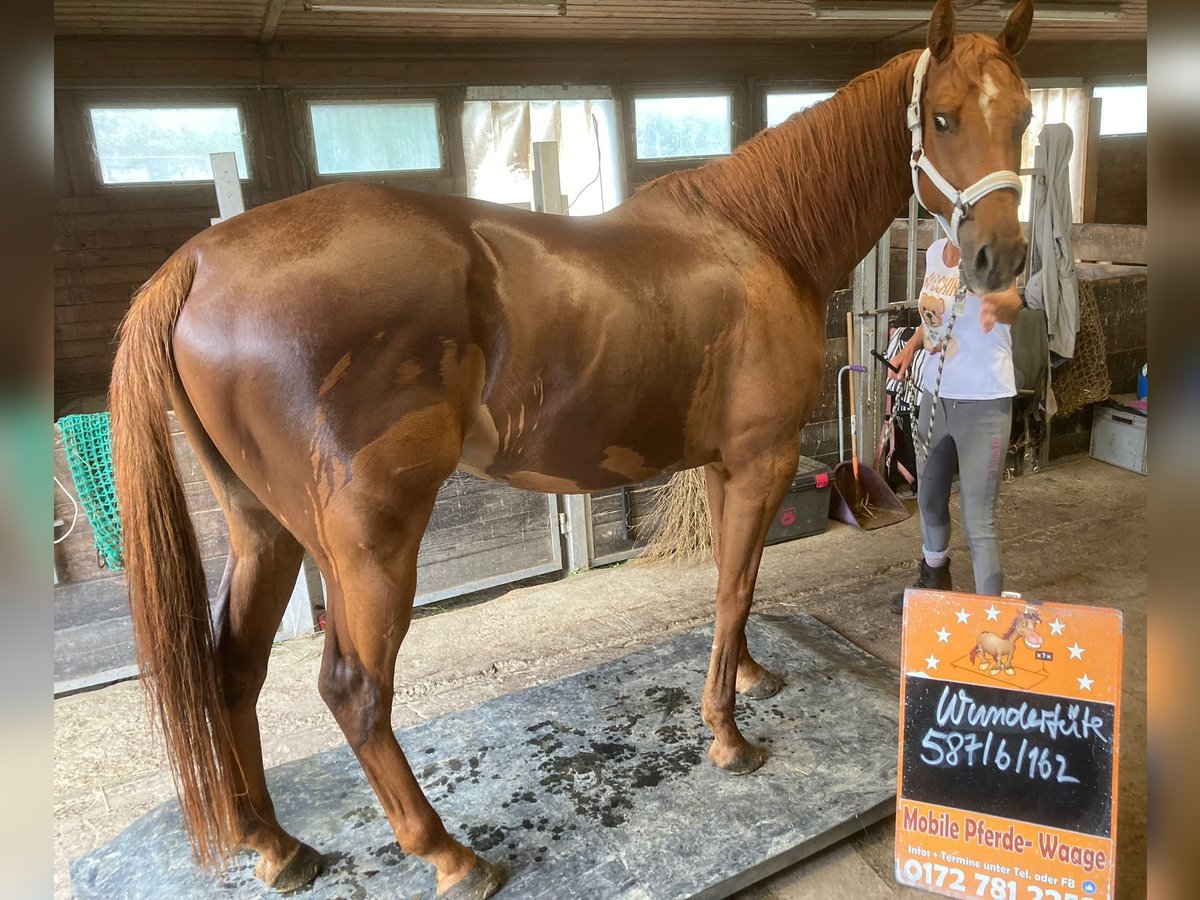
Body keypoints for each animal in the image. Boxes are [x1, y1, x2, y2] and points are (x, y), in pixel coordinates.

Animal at [108, 3, 1036, 897]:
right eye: (943, 116)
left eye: (1025, 117)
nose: (1001, 259)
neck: (760, 237)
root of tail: (200, 261)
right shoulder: (760, 460)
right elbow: (737, 586)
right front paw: (729, 738)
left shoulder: (724, 466)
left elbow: (731, 588)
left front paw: (746, 677)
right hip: (368, 546)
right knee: (354, 690)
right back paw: (449, 856)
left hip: (262, 530)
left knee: (232, 671)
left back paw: (273, 845)